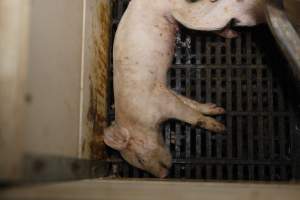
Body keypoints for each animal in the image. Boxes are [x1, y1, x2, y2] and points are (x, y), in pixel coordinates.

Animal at [103, 0, 264, 178]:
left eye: (140, 159)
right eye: (140, 165)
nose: (163, 176)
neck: (141, 121)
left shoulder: (162, 101)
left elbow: (190, 115)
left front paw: (221, 128)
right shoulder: (167, 91)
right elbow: (189, 102)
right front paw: (218, 109)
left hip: (178, 9)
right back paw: (233, 34)